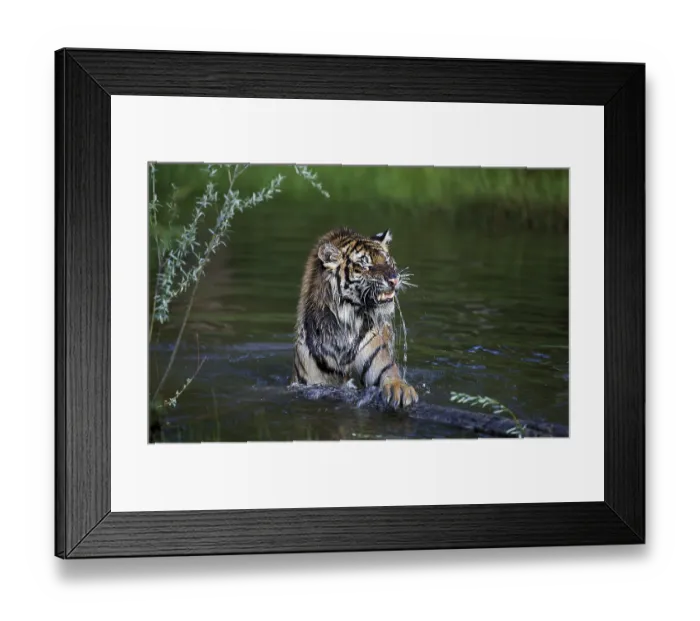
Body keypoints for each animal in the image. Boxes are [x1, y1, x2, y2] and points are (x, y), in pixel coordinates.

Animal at [292, 227, 418, 409]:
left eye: (388, 261)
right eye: (365, 264)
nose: (394, 279)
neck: (346, 323)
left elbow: (390, 374)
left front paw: (400, 389)